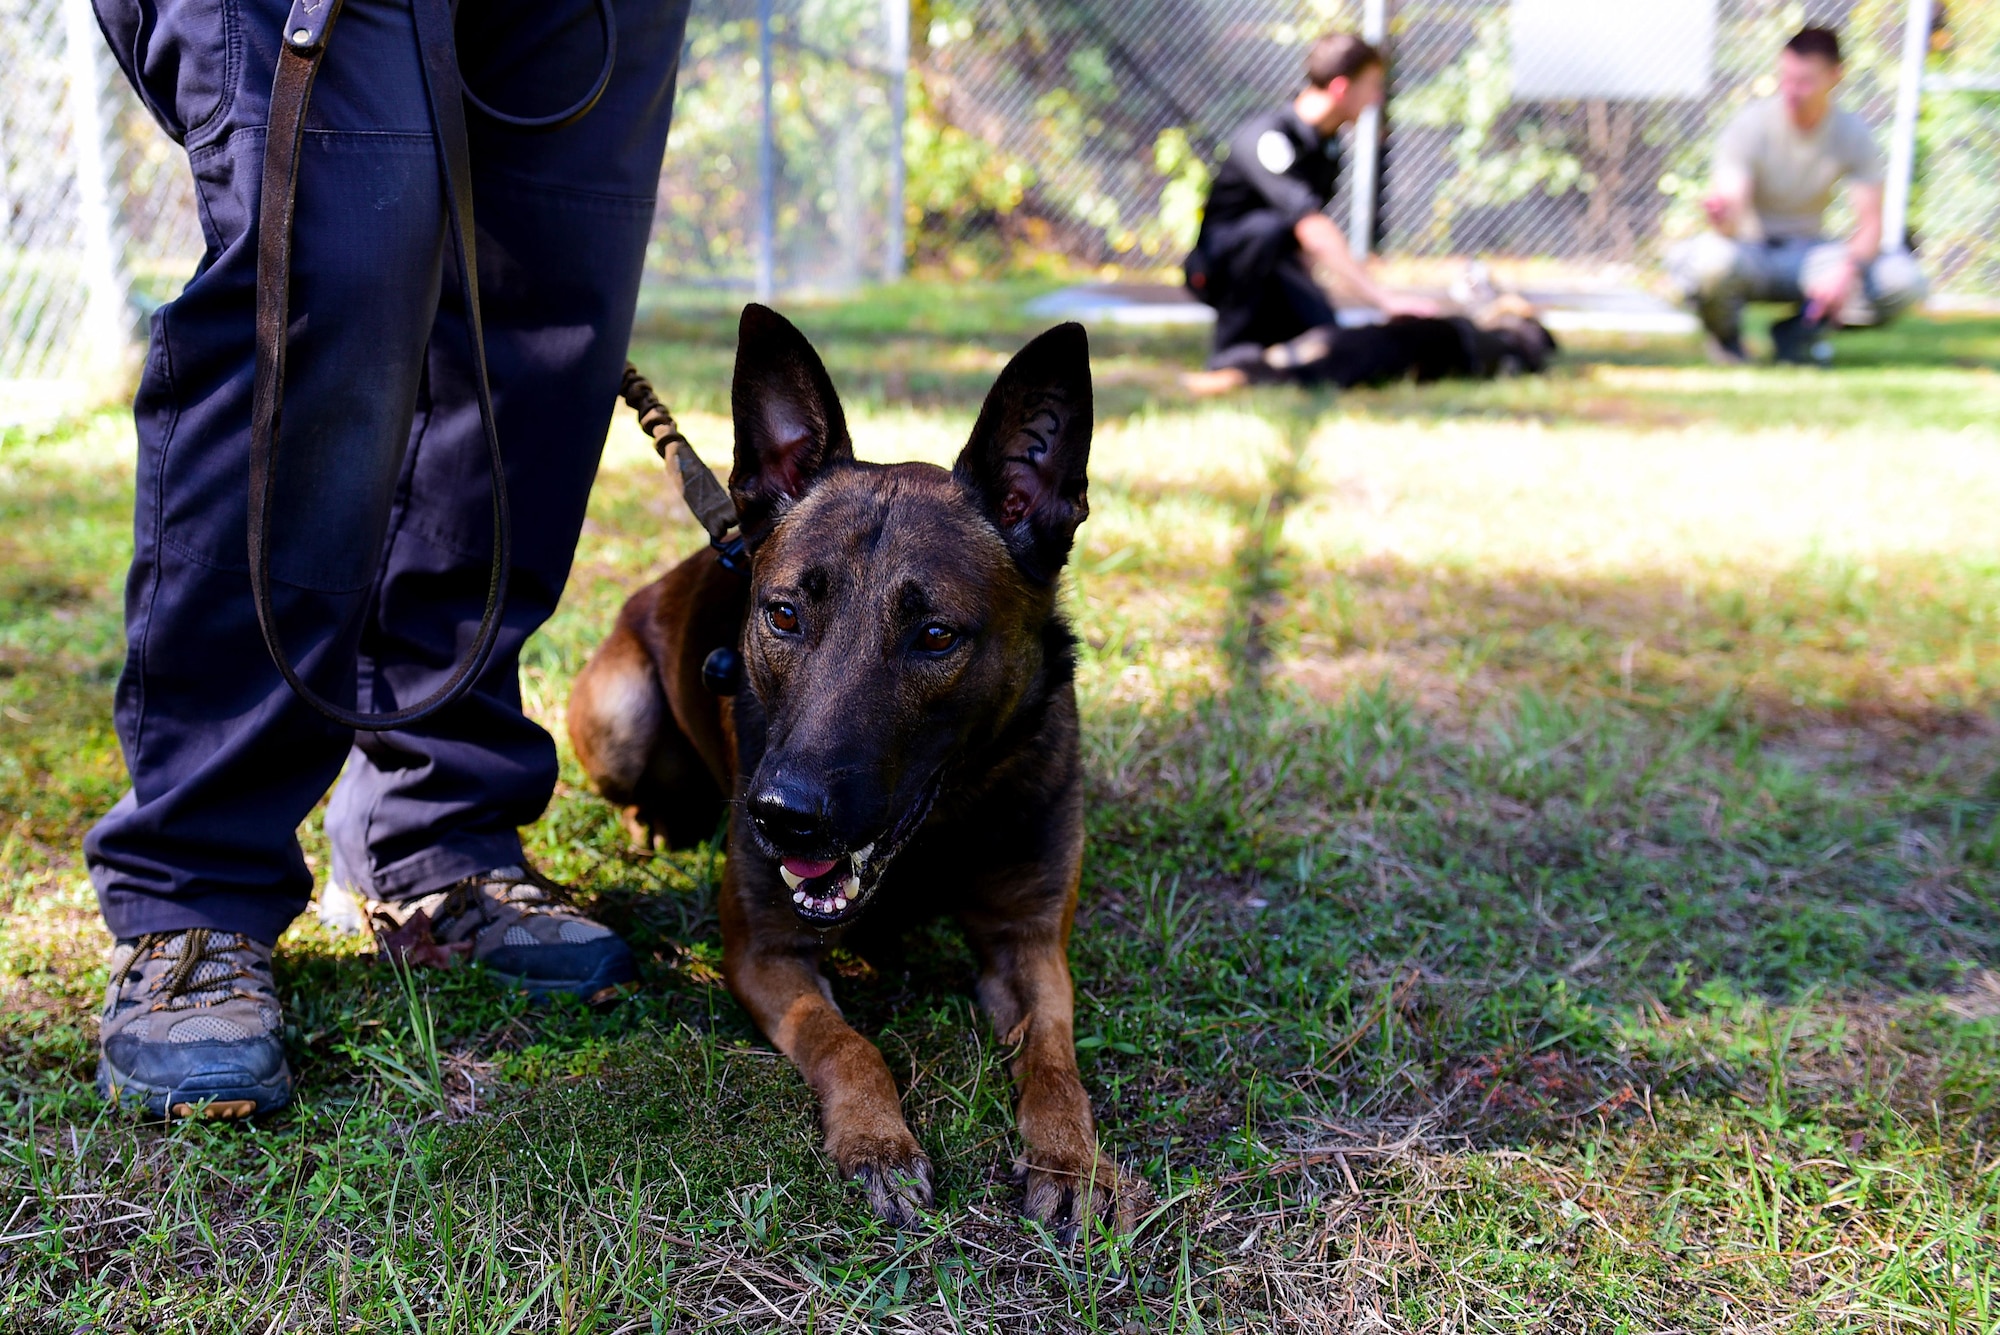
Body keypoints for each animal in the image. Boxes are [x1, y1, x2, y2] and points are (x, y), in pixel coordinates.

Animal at [568, 307, 1128, 1239]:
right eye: (784, 614)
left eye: (935, 636)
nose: (781, 815)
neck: (935, 833)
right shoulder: (766, 952)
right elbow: (848, 1044)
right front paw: (877, 1142)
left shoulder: (1031, 943)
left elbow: (1056, 1061)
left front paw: (1073, 1156)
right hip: (620, 716)